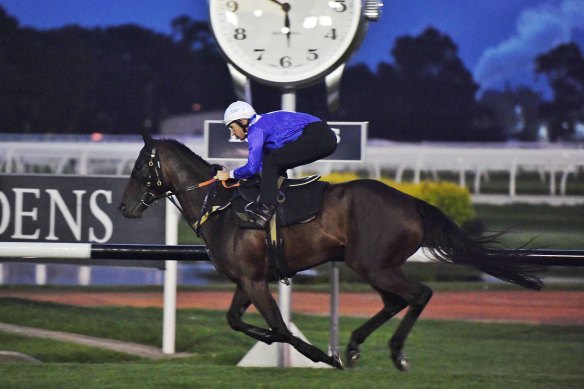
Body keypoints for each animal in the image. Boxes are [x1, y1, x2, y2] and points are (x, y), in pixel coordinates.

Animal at [118, 133, 544, 370]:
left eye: (140, 166)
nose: (124, 207)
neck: (221, 207)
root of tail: (411, 202)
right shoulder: (247, 279)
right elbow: (235, 320)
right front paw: (291, 347)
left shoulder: (254, 280)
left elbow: (278, 327)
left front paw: (322, 356)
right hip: (375, 265)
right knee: (396, 300)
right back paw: (355, 345)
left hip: (372, 264)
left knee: (418, 294)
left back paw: (394, 353)